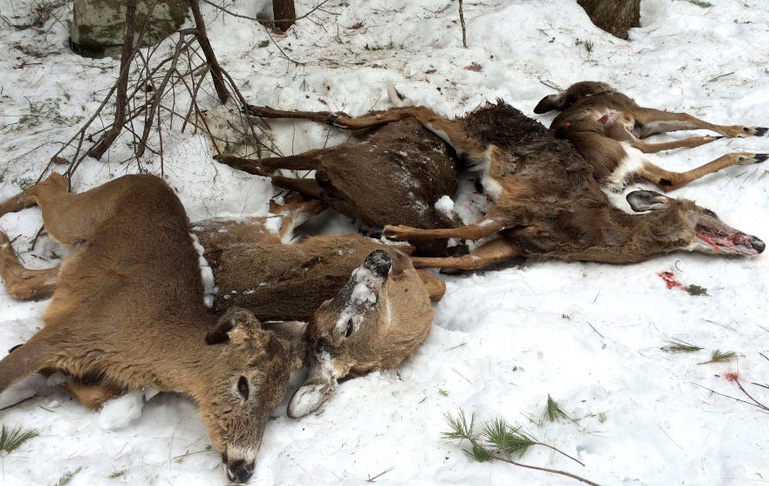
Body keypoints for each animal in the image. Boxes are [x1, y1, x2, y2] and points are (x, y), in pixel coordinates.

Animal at [216, 105, 460, 255]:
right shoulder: (337, 166)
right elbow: (271, 165)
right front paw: (227, 159)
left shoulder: (335, 185)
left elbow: (271, 169)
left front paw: (228, 159)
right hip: (358, 140)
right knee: (338, 116)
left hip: (344, 157)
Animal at [533, 81, 768, 192]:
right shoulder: (636, 113)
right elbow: (686, 116)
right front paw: (745, 130)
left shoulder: (642, 127)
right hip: (625, 148)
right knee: (673, 175)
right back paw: (747, 155)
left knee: (667, 180)